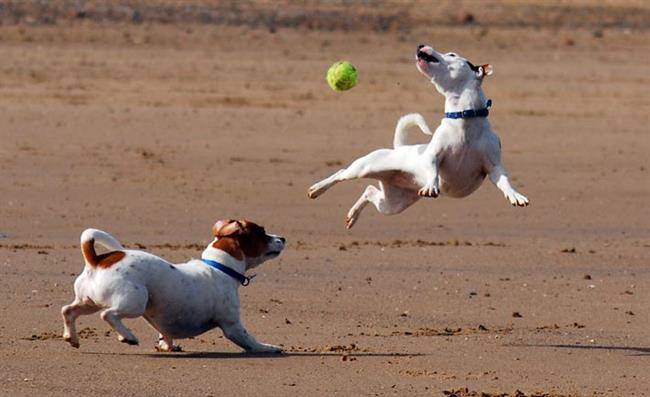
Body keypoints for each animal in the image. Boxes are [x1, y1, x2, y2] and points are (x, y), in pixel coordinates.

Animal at [62, 220, 284, 352]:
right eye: (262, 232)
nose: (282, 237)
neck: (220, 267)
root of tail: (96, 261)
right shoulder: (232, 326)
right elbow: (250, 341)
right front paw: (268, 347)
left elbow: (165, 335)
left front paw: (166, 346)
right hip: (134, 303)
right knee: (108, 315)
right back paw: (128, 336)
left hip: (88, 302)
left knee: (68, 311)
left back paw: (71, 337)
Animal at [308, 43, 528, 227]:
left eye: (452, 54)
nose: (420, 45)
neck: (464, 120)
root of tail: (399, 148)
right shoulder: (434, 155)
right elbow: (432, 168)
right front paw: (431, 185)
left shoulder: (493, 166)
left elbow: (504, 181)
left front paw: (515, 195)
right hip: (364, 168)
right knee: (340, 173)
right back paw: (317, 189)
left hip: (392, 204)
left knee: (369, 191)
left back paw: (353, 215)